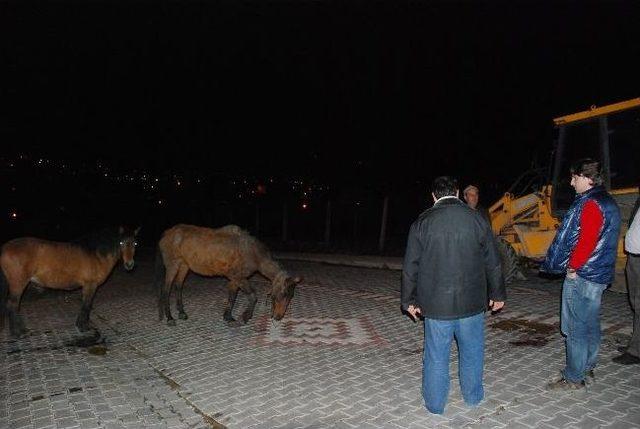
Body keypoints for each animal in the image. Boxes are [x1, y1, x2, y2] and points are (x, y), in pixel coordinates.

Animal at [0, 226, 139, 336]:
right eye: (121, 243)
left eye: (135, 244)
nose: (129, 264)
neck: (95, 254)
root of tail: (5, 247)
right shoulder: (90, 285)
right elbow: (87, 305)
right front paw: (84, 327)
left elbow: (85, 305)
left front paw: (80, 325)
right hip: (18, 284)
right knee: (12, 305)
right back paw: (17, 332)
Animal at [157, 224, 302, 324]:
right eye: (283, 294)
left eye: (291, 296)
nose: (278, 317)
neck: (251, 252)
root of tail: (165, 234)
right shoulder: (237, 277)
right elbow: (252, 295)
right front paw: (245, 317)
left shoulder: (235, 279)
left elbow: (232, 296)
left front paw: (228, 317)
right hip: (173, 265)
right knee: (166, 289)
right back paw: (169, 318)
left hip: (184, 266)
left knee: (178, 286)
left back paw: (181, 313)